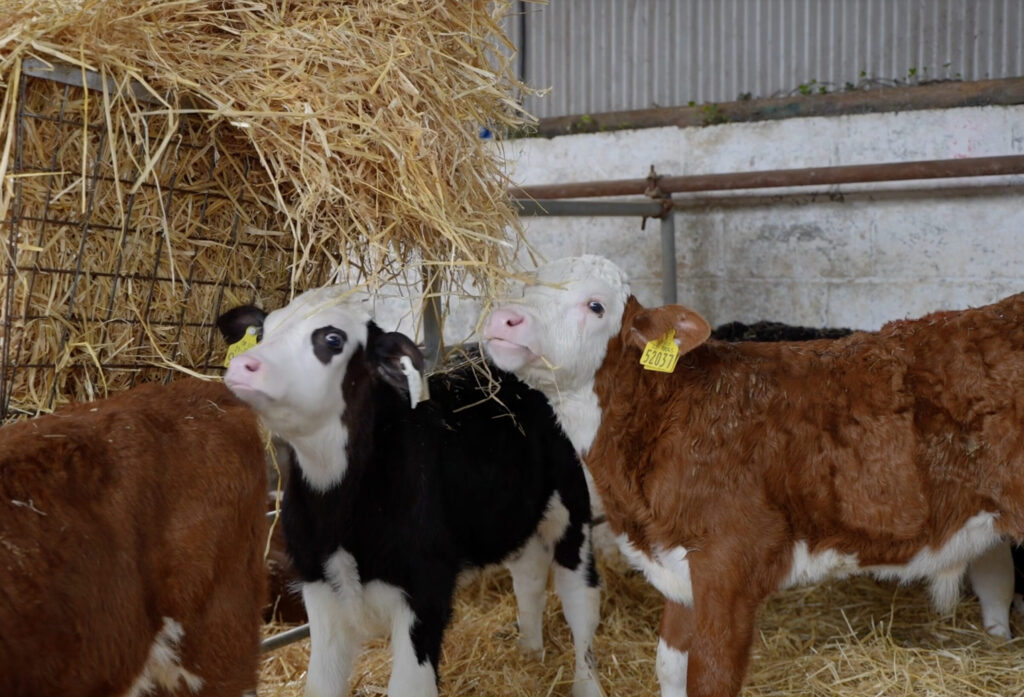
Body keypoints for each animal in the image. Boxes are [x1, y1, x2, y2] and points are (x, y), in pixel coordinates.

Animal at [218, 286, 601, 697]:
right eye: (262, 333)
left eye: (333, 339)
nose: (245, 364)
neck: (340, 508)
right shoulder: (318, 584)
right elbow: (321, 684)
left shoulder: (426, 590)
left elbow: (408, 685)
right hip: (511, 515)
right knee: (528, 575)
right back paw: (529, 650)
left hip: (571, 510)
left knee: (581, 597)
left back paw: (586, 684)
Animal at [483, 254, 1024, 697]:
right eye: (525, 285)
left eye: (596, 306)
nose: (504, 318)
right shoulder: (677, 565)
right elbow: (669, 668)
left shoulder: (732, 561)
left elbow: (711, 678)